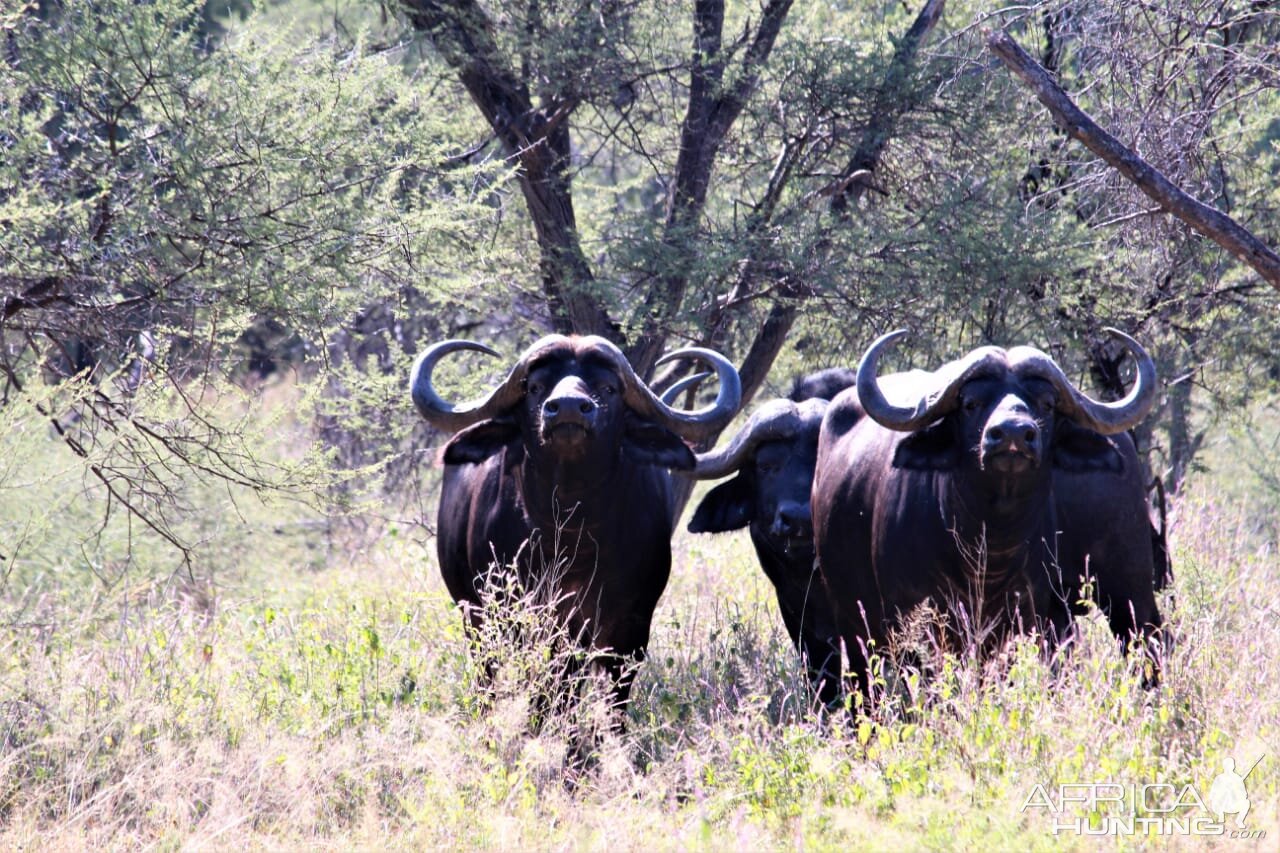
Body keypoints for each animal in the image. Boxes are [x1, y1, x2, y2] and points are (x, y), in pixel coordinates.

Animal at [412, 333, 742, 712]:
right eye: (536, 387)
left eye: (608, 388)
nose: (568, 407)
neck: (571, 534)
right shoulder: (520, 619)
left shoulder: (630, 630)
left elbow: (610, 699)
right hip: (476, 621)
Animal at [814, 327, 1167, 696]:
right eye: (971, 403)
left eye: (1047, 403)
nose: (1013, 434)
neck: (987, 549)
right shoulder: (912, 619)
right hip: (851, 620)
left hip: (1129, 590)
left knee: (1147, 646)